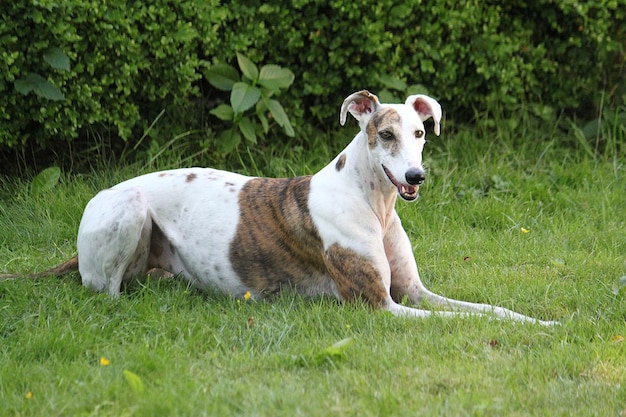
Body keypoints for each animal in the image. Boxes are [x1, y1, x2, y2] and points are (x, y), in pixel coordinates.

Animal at [1, 90, 556, 324]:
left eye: (421, 133)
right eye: (385, 135)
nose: (415, 178)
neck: (370, 200)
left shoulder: (415, 292)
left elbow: (493, 311)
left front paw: (545, 324)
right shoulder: (382, 306)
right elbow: (467, 323)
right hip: (131, 211)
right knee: (109, 295)